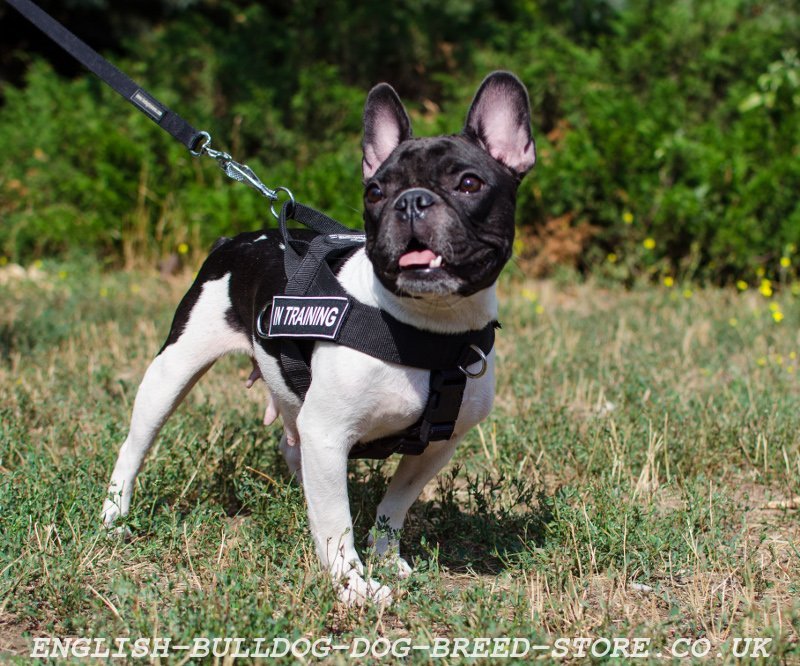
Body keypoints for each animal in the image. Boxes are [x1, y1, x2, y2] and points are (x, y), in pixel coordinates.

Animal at [101, 71, 536, 600]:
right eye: (375, 192)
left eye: (469, 183)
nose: (410, 201)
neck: (429, 330)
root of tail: (235, 241)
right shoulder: (328, 434)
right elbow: (336, 521)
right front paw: (354, 586)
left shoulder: (436, 445)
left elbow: (394, 505)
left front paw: (385, 557)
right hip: (173, 369)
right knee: (135, 445)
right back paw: (114, 518)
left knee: (293, 446)